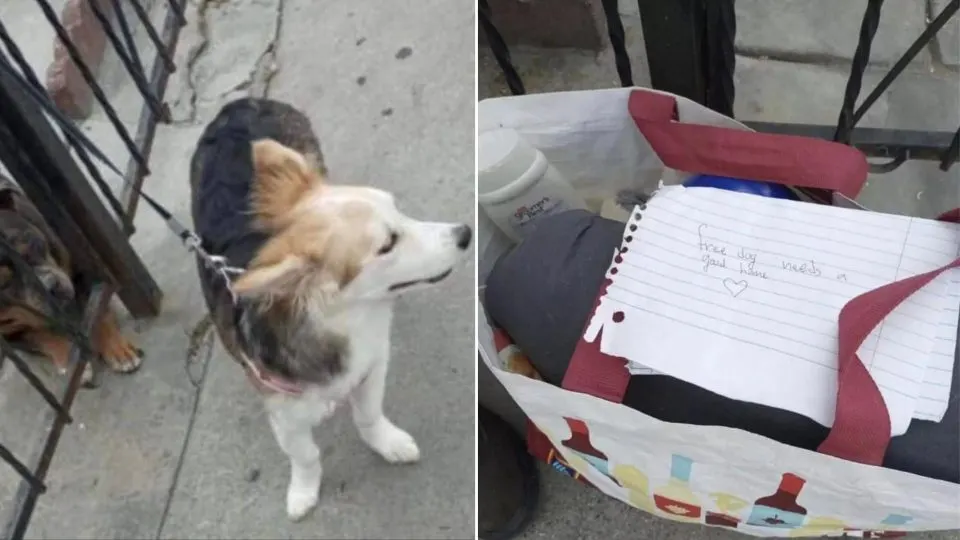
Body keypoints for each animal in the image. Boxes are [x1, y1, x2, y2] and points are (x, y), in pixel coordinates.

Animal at [0, 175, 142, 382]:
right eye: (4, 283)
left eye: (29, 244)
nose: (50, 286)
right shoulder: (10, 335)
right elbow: (43, 336)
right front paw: (68, 360)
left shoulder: (86, 273)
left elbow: (98, 314)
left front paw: (117, 351)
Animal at [188, 99, 472, 520]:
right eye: (388, 244)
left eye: (398, 210)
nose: (465, 234)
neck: (344, 318)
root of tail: (238, 104)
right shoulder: (284, 413)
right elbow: (305, 454)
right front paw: (304, 490)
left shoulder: (372, 365)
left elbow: (368, 414)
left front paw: (386, 442)